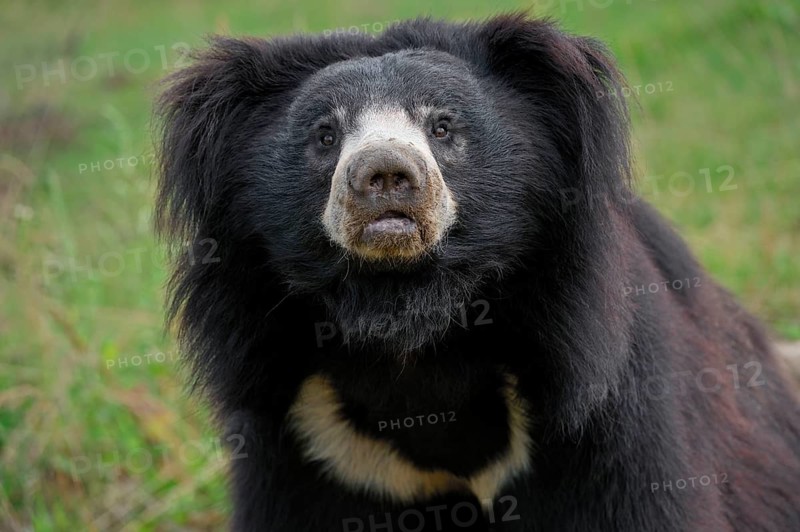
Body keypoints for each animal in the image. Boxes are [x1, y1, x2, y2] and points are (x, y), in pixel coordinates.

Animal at [155, 13, 800, 532]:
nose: (384, 174)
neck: (417, 328)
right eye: (325, 134)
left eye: (442, 126)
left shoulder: (603, 409)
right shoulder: (309, 438)